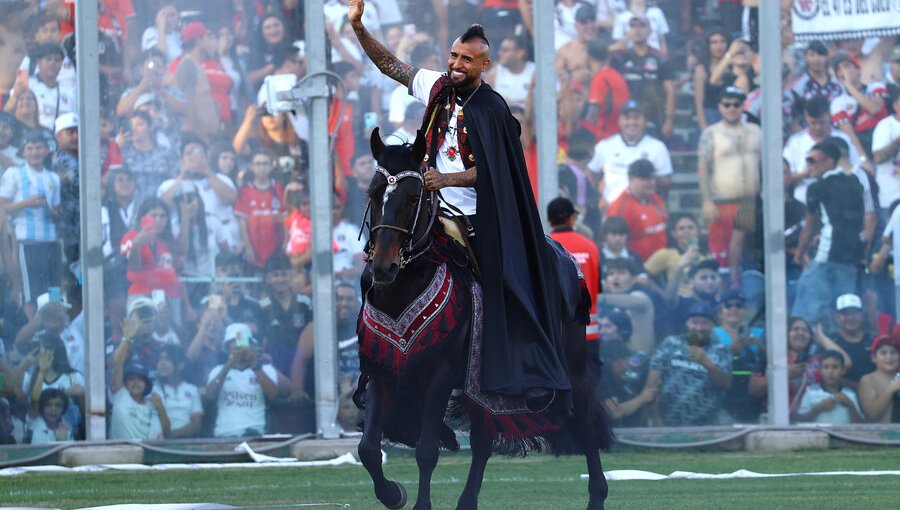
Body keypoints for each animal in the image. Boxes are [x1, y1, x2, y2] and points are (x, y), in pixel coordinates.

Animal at [354, 127, 612, 510]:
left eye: (414, 197)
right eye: (372, 193)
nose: (384, 266)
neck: (405, 287)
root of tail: (563, 255)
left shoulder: (440, 372)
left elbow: (427, 450)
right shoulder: (381, 369)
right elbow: (369, 448)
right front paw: (393, 493)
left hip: (572, 362)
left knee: (584, 420)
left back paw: (597, 495)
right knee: (483, 441)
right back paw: (467, 501)